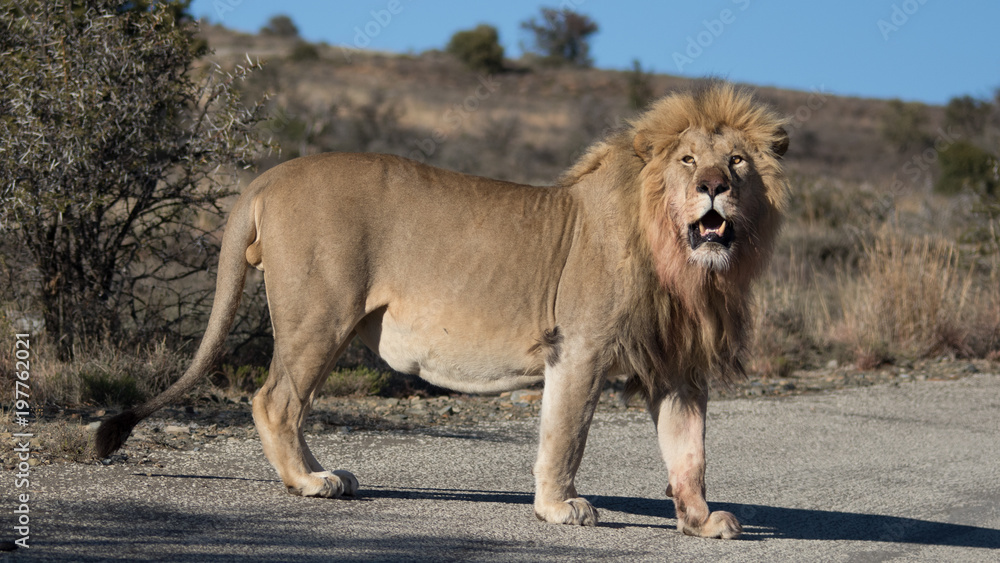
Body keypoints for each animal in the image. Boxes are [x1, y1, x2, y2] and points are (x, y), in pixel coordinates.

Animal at [97, 82, 789, 539]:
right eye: (687, 160)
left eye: (737, 161)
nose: (713, 187)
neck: (683, 263)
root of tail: (269, 176)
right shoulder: (580, 348)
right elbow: (564, 436)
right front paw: (560, 508)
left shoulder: (677, 367)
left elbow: (689, 449)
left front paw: (700, 519)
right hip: (320, 314)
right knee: (275, 400)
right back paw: (311, 483)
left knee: (289, 404)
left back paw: (326, 475)